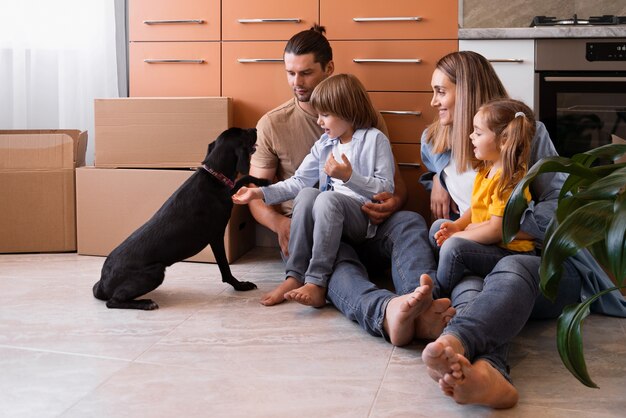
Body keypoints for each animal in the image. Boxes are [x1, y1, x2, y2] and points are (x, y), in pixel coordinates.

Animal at [92, 128, 266, 310]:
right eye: (244, 133)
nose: (255, 129)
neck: (214, 176)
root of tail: (102, 283)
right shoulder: (216, 236)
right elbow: (225, 268)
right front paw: (240, 285)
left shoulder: (229, 191)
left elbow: (243, 179)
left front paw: (261, 180)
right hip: (155, 272)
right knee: (113, 301)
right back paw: (146, 303)